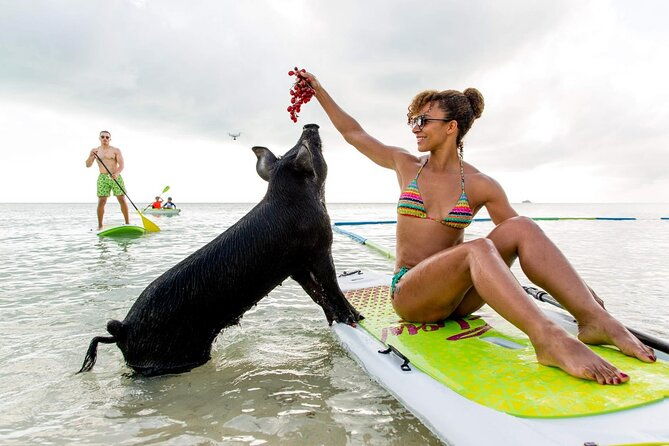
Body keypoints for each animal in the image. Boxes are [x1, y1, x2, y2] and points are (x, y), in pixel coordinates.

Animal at [78, 124, 362, 376]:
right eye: (312, 149)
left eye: (288, 151)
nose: (310, 125)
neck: (294, 197)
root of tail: (123, 329)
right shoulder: (319, 248)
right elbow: (332, 286)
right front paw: (356, 318)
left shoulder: (297, 267)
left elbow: (318, 295)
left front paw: (338, 320)